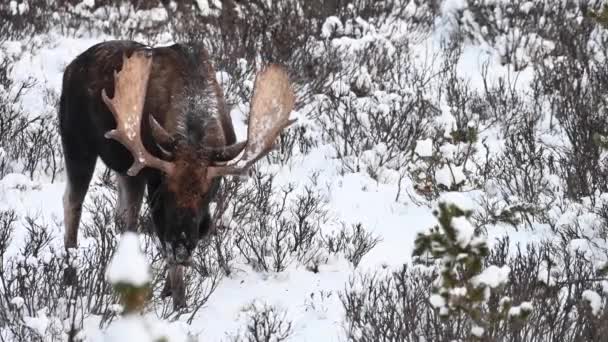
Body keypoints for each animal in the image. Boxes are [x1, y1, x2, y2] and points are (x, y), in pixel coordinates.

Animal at [58, 39, 296, 308]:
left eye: (207, 193)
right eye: (167, 189)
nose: (182, 244)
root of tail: (71, 67)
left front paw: (167, 291)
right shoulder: (154, 182)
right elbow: (165, 243)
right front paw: (179, 303)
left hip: (128, 171)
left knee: (124, 217)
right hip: (76, 142)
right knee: (72, 202)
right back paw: (71, 276)